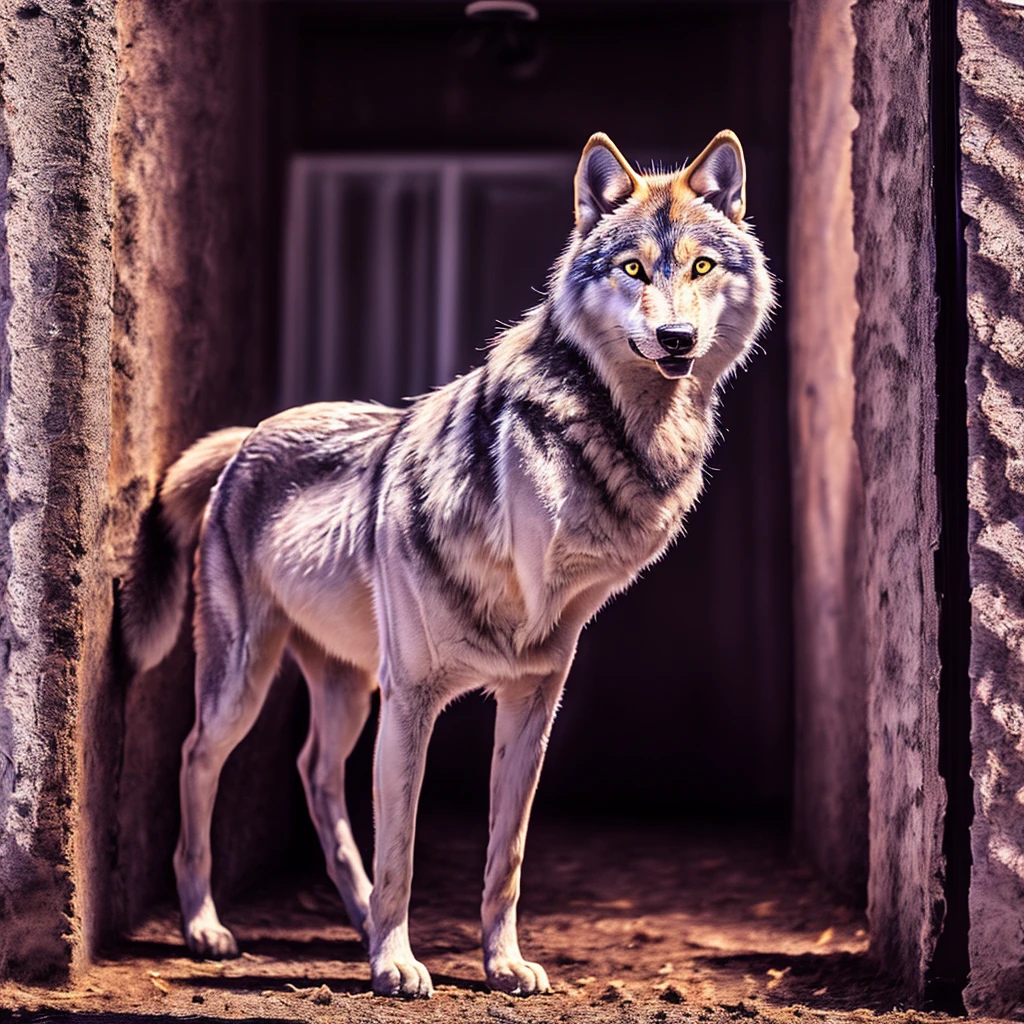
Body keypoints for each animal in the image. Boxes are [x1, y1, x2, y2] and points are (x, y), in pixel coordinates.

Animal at [119, 130, 770, 999]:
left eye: (700, 267)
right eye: (633, 269)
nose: (676, 342)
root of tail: (250, 435)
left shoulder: (531, 705)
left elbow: (506, 859)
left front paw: (502, 965)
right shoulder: (412, 702)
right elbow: (402, 851)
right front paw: (397, 964)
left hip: (347, 692)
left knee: (314, 774)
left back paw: (357, 920)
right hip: (247, 686)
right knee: (196, 760)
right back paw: (206, 926)